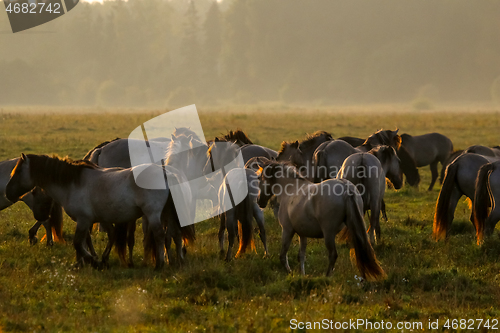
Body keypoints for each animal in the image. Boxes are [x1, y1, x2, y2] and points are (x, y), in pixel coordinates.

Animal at [6, 153, 193, 270]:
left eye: (18, 171)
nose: (7, 193)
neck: (72, 183)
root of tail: (165, 171)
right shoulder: (91, 221)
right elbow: (87, 241)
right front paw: (83, 263)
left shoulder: (83, 220)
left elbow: (78, 243)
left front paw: (94, 261)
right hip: (168, 213)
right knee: (174, 234)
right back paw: (178, 262)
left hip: (153, 214)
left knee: (160, 235)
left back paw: (160, 265)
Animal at [256, 160, 384, 278]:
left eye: (260, 178)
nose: (259, 201)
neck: (291, 190)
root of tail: (346, 188)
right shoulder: (302, 233)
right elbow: (301, 256)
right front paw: (302, 275)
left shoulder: (287, 230)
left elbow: (283, 256)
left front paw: (290, 273)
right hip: (353, 227)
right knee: (360, 249)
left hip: (328, 233)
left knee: (333, 254)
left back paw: (327, 277)